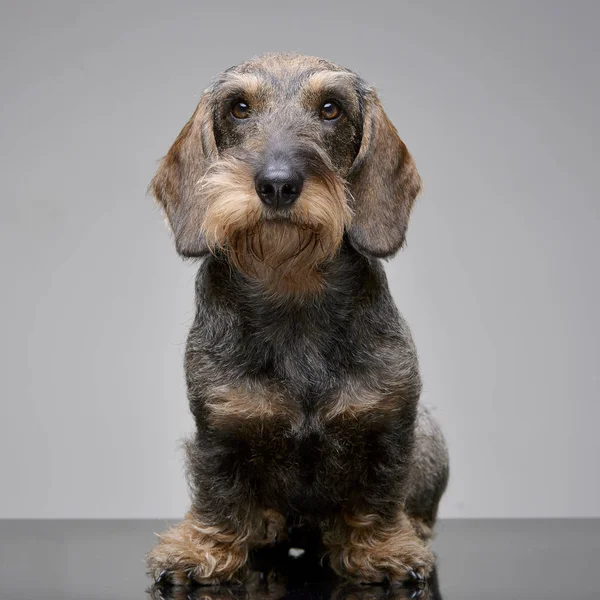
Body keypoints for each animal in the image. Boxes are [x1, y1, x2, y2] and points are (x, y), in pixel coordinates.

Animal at [146, 51, 450, 584]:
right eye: (239, 107)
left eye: (330, 108)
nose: (277, 185)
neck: (292, 286)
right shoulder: (219, 427)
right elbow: (218, 493)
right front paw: (203, 550)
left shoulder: (389, 421)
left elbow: (380, 492)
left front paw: (382, 549)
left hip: (432, 438)